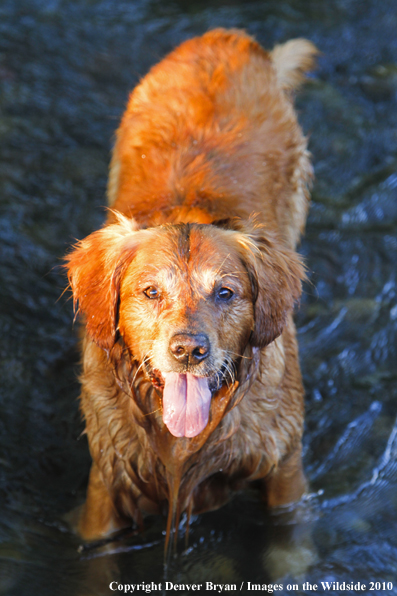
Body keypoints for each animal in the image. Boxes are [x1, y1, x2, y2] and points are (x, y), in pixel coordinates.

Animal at [65, 30, 318, 548]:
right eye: (150, 292)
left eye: (225, 293)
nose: (188, 351)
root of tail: (227, 37)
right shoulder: (107, 480)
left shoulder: (285, 467)